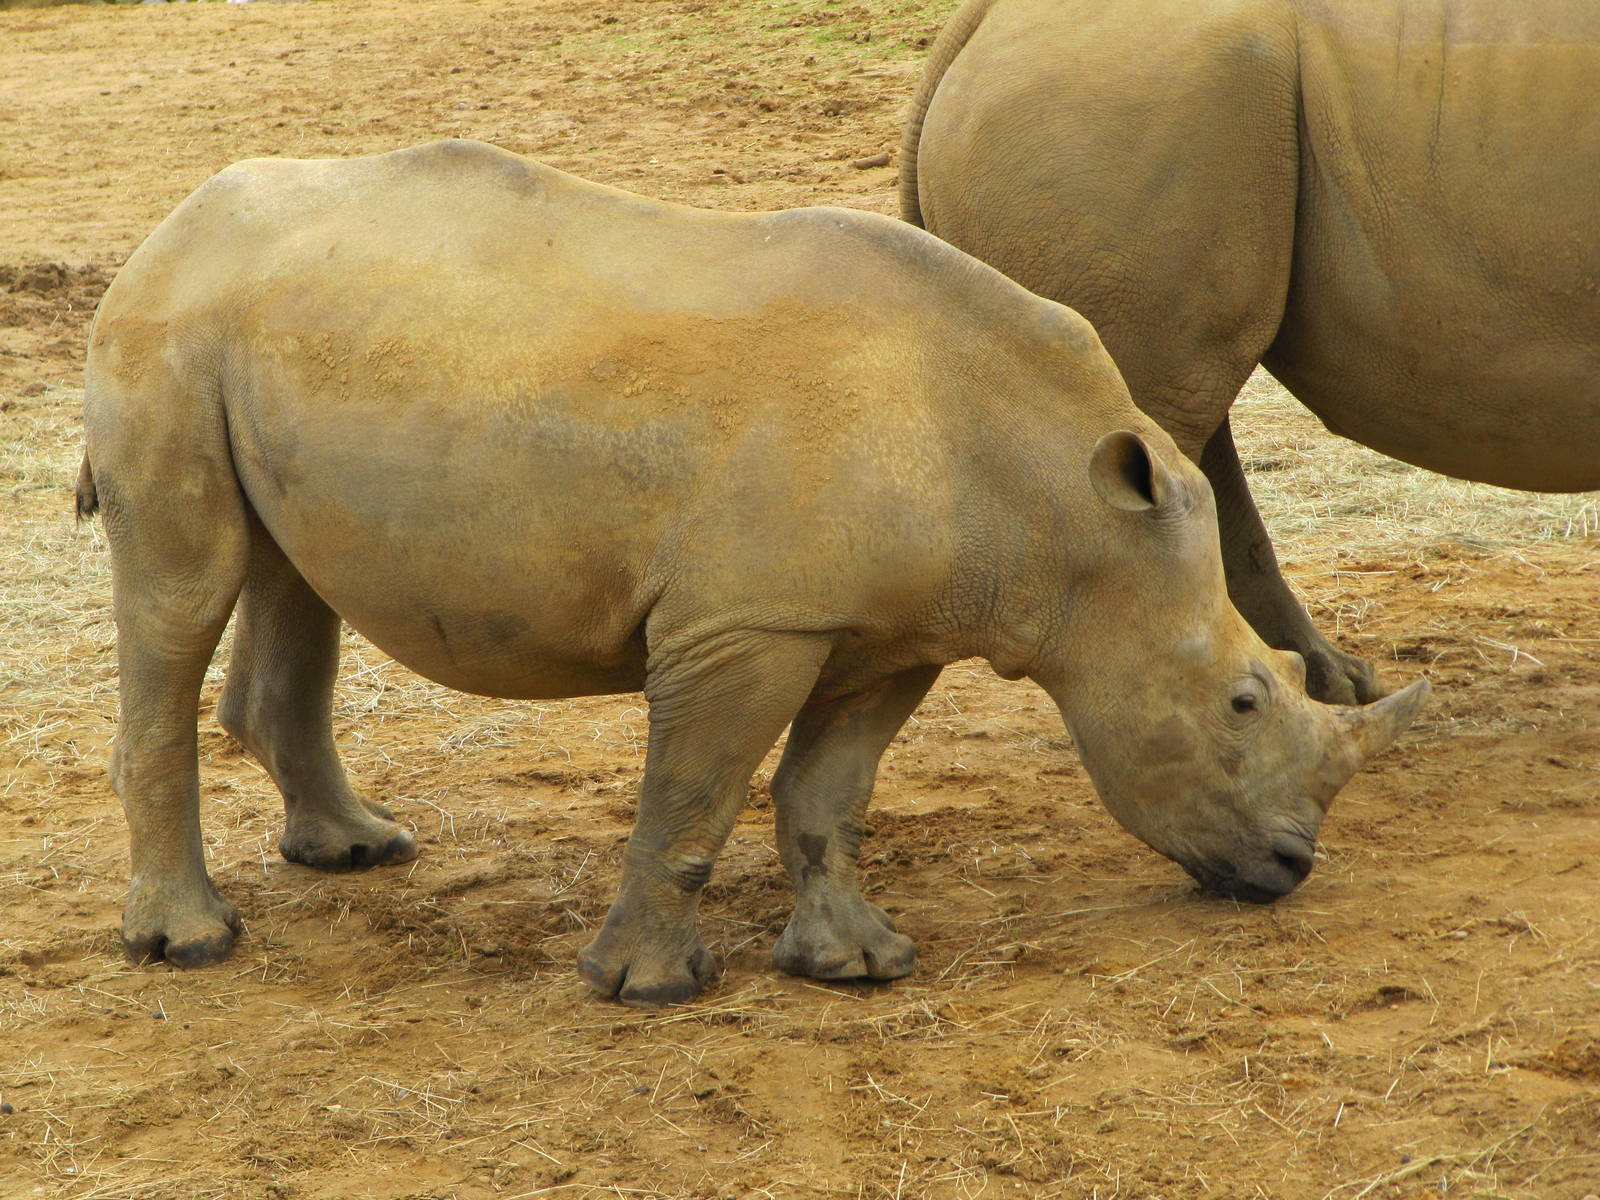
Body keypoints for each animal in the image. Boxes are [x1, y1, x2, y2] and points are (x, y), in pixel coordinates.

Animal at [78, 139, 1426, 1007]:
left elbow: (828, 792)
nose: (1291, 872)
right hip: (164, 332)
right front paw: (647, 990)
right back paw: (189, 948)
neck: (1064, 511)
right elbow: (697, 789)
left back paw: (359, 853)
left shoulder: (895, 626)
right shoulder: (747, 624)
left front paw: (857, 967)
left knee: (290, 575)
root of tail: (163, 230)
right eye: (1242, 701)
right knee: (183, 593)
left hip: (266, 332)